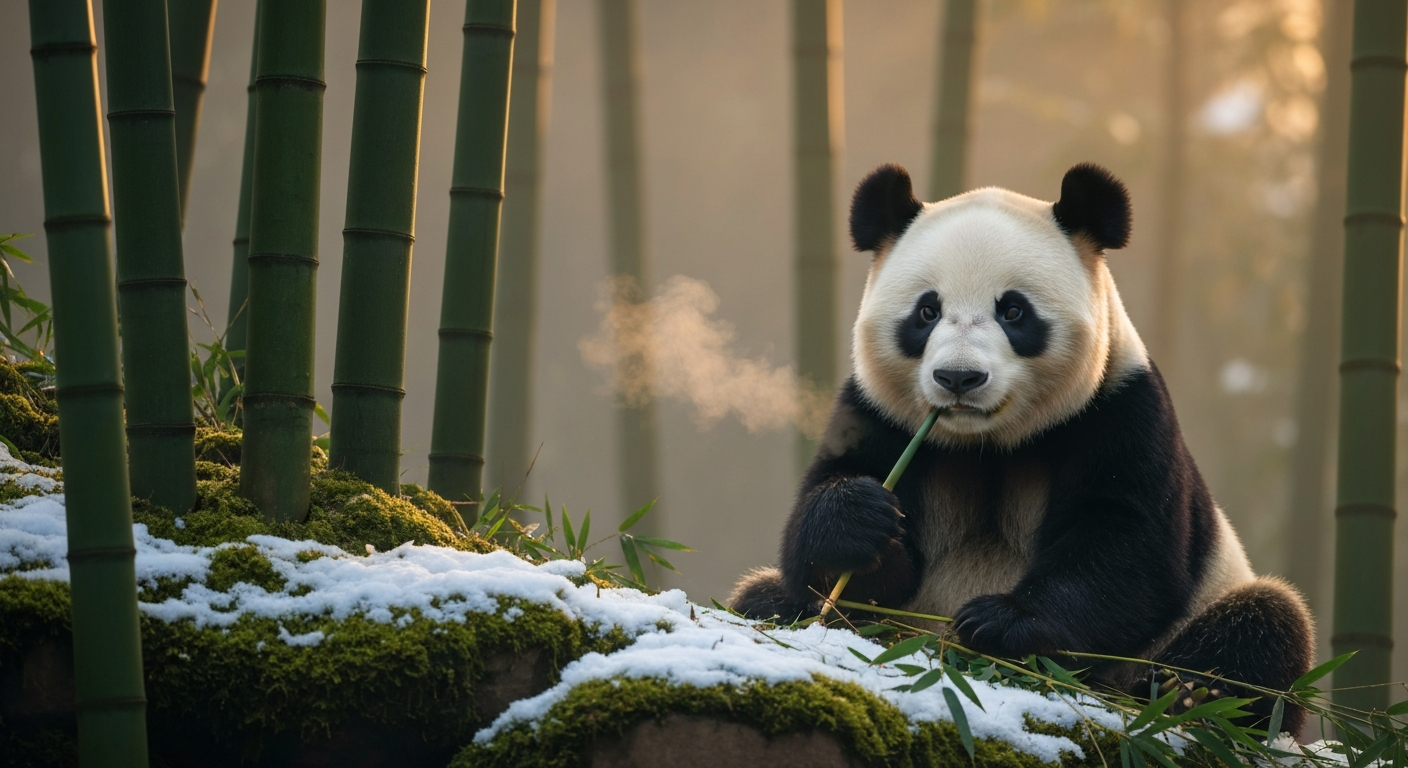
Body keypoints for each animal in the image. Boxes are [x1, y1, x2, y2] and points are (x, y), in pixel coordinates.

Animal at [732, 162, 1314, 733]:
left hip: (1205, 609)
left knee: (1261, 632)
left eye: (1013, 311)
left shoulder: (1122, 409)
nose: (958, 377)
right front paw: (859, 520)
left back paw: (1180, 694)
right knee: (762, 599)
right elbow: (832, 549)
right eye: (926, 311)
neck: (987, 444)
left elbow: (1127, 543)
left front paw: (995, 621)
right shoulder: (875, 414)